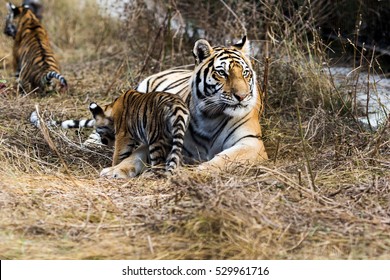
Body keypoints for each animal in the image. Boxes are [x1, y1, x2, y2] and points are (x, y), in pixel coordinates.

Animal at [101, 36, 268, 178]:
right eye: (222, 73)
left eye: (245, 73)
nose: (242, 96)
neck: (211, 117)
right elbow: (135, 156)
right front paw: (114, 170)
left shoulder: (252, 143)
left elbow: (225, 157)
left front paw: (195, 172)